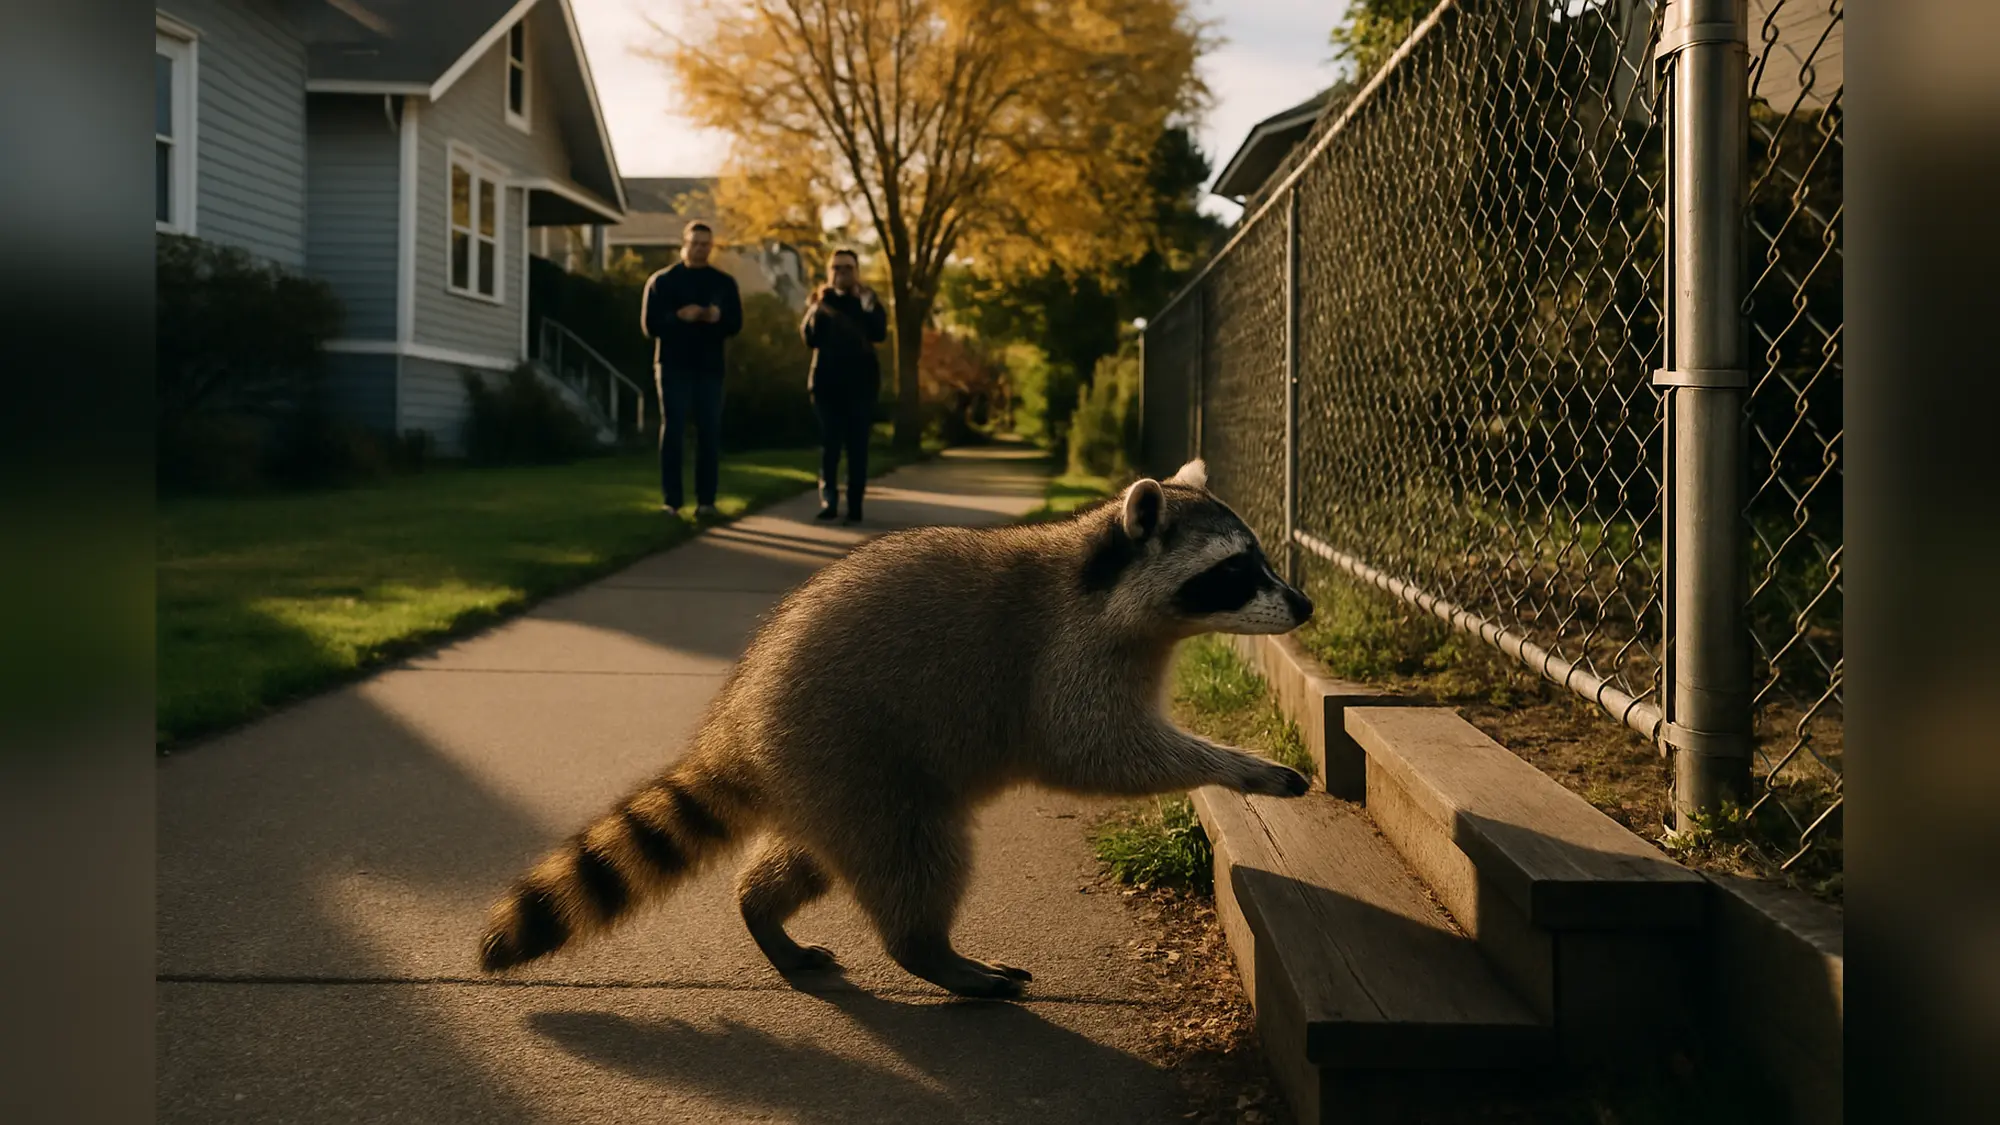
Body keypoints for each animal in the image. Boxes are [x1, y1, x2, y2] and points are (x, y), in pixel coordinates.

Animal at [477, 459, 1314, 998]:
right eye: (1235, 570)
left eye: (1261, 559)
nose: (1304, 605)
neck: (1102, 582)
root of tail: (739, 721)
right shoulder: (1065, 659)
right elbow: (1094, 750)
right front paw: (1234, 764)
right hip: (852, 754)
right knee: (917, 858)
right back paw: (931, 953)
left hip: (822, 781)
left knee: (810, 858)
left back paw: (761, 909)